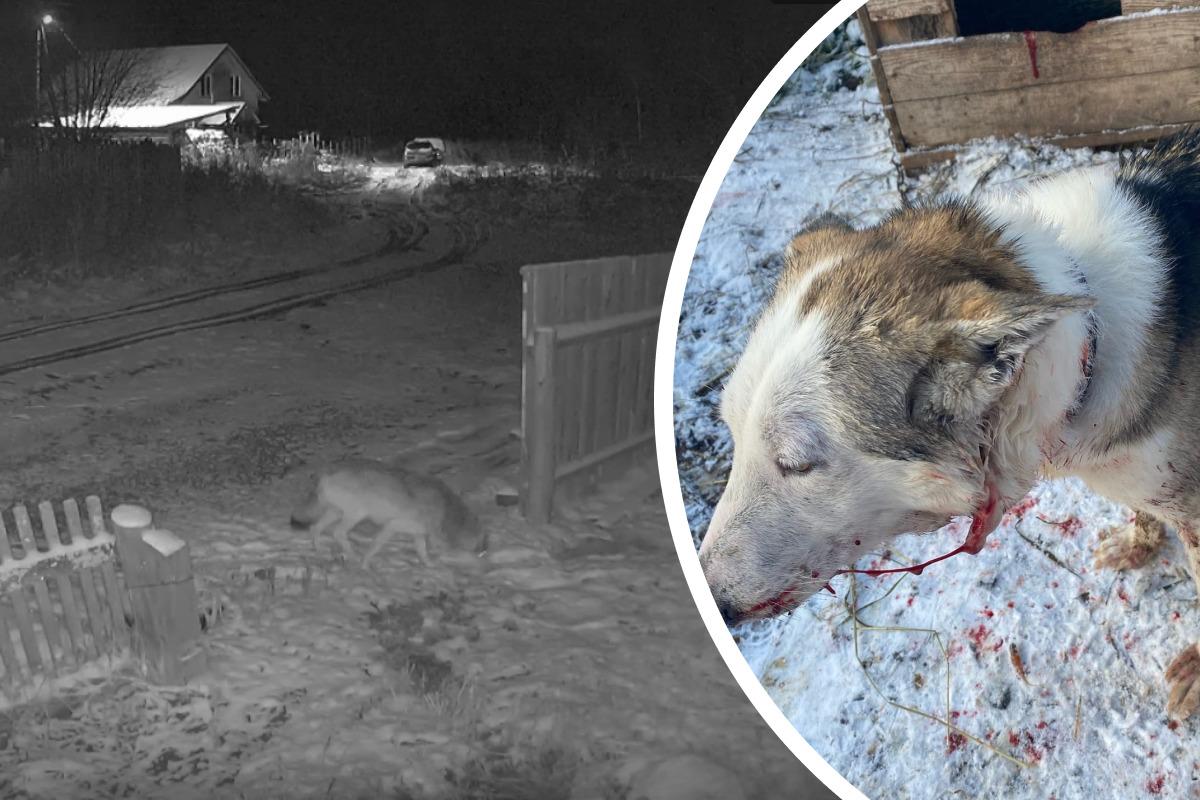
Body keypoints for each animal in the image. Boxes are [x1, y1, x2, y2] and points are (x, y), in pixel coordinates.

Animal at [290, 455, 487, 568]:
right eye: (481, 546)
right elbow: (375, 547)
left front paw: (430, 566)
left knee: (315, 529)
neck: (448, 511)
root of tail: (325, 471)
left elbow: (422, 553)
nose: (485, 550)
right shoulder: (395, 527)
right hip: (355, 515)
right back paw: (353, 557)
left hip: (336, 513)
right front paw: (364, 565)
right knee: (337, 533)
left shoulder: (412, 533)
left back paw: (319, 552)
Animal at [700, 130, 1200, 719]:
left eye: (796, 463)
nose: (711, 599)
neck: (1089, 340)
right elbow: (1144, 512)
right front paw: (1140, 543)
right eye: (732, 430)